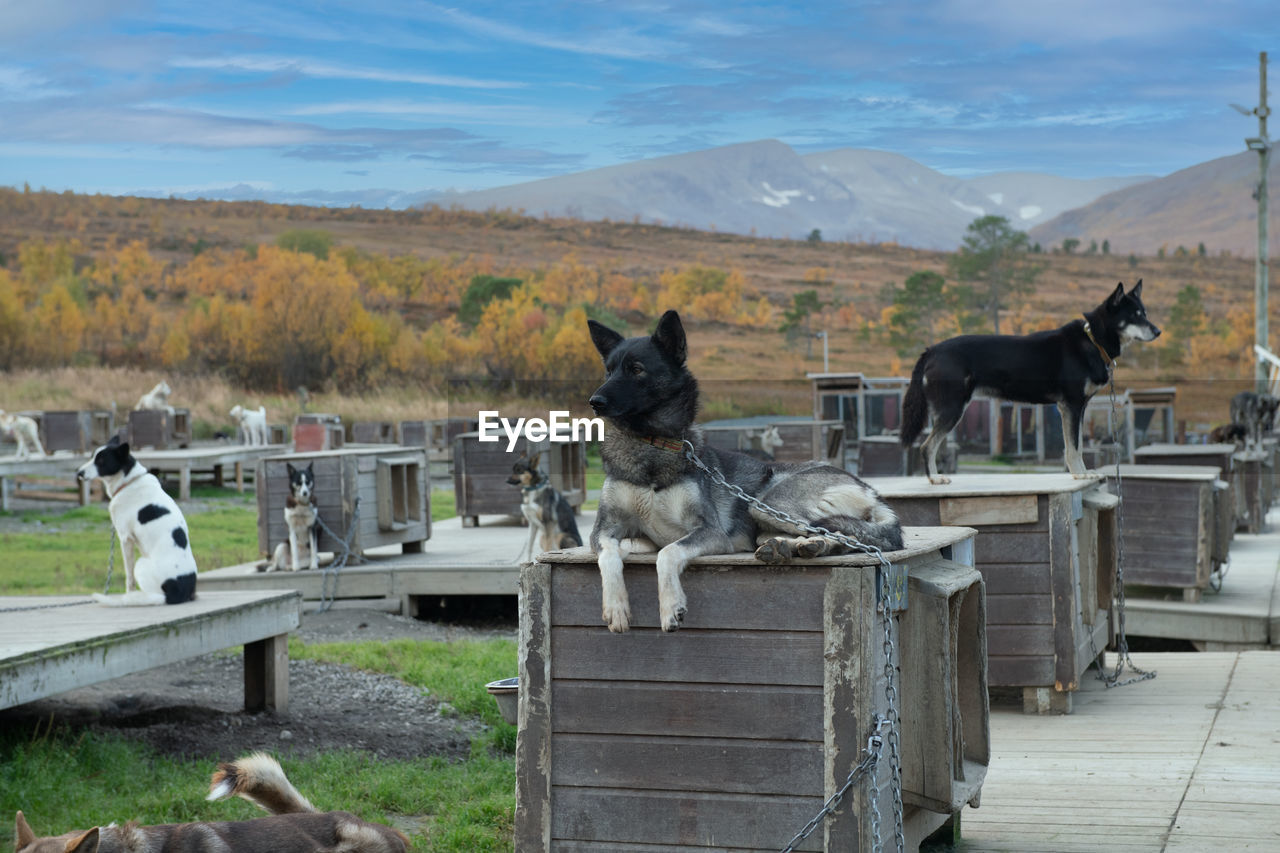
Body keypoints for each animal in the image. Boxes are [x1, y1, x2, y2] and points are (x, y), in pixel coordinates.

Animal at [75, 438, 197, 604]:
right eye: (91, 456)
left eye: (101, 461)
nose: (79, 473)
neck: (129, 482)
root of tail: (177, 594)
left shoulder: (125, 539)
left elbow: (129, 577)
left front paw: (128, 593)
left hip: (141, 564)